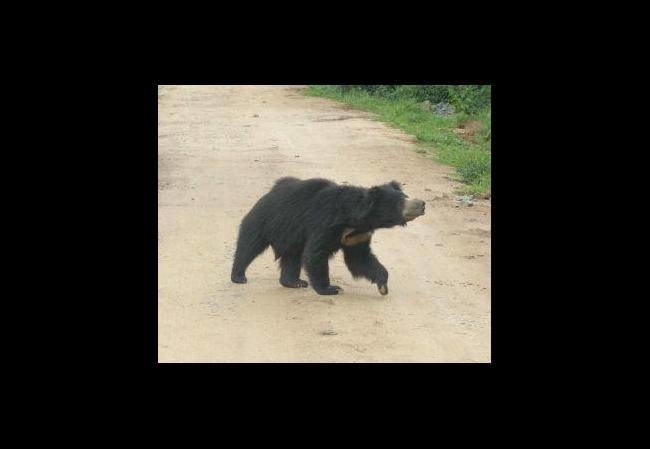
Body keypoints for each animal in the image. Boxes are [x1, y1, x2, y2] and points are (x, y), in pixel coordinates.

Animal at [230, 177, 425, 296]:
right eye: (400, 202)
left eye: (405, 195)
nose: (422, 204)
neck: (355, 219)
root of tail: (270, 192)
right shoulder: (326, 223)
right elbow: (316, 253)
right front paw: (330, 288)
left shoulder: (358, 236)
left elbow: (360, 259)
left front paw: (383, 285)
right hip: (265, 220)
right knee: (249, 245)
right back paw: (239, 276)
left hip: (292, 235)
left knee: (292, 257)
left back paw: (294, 282)